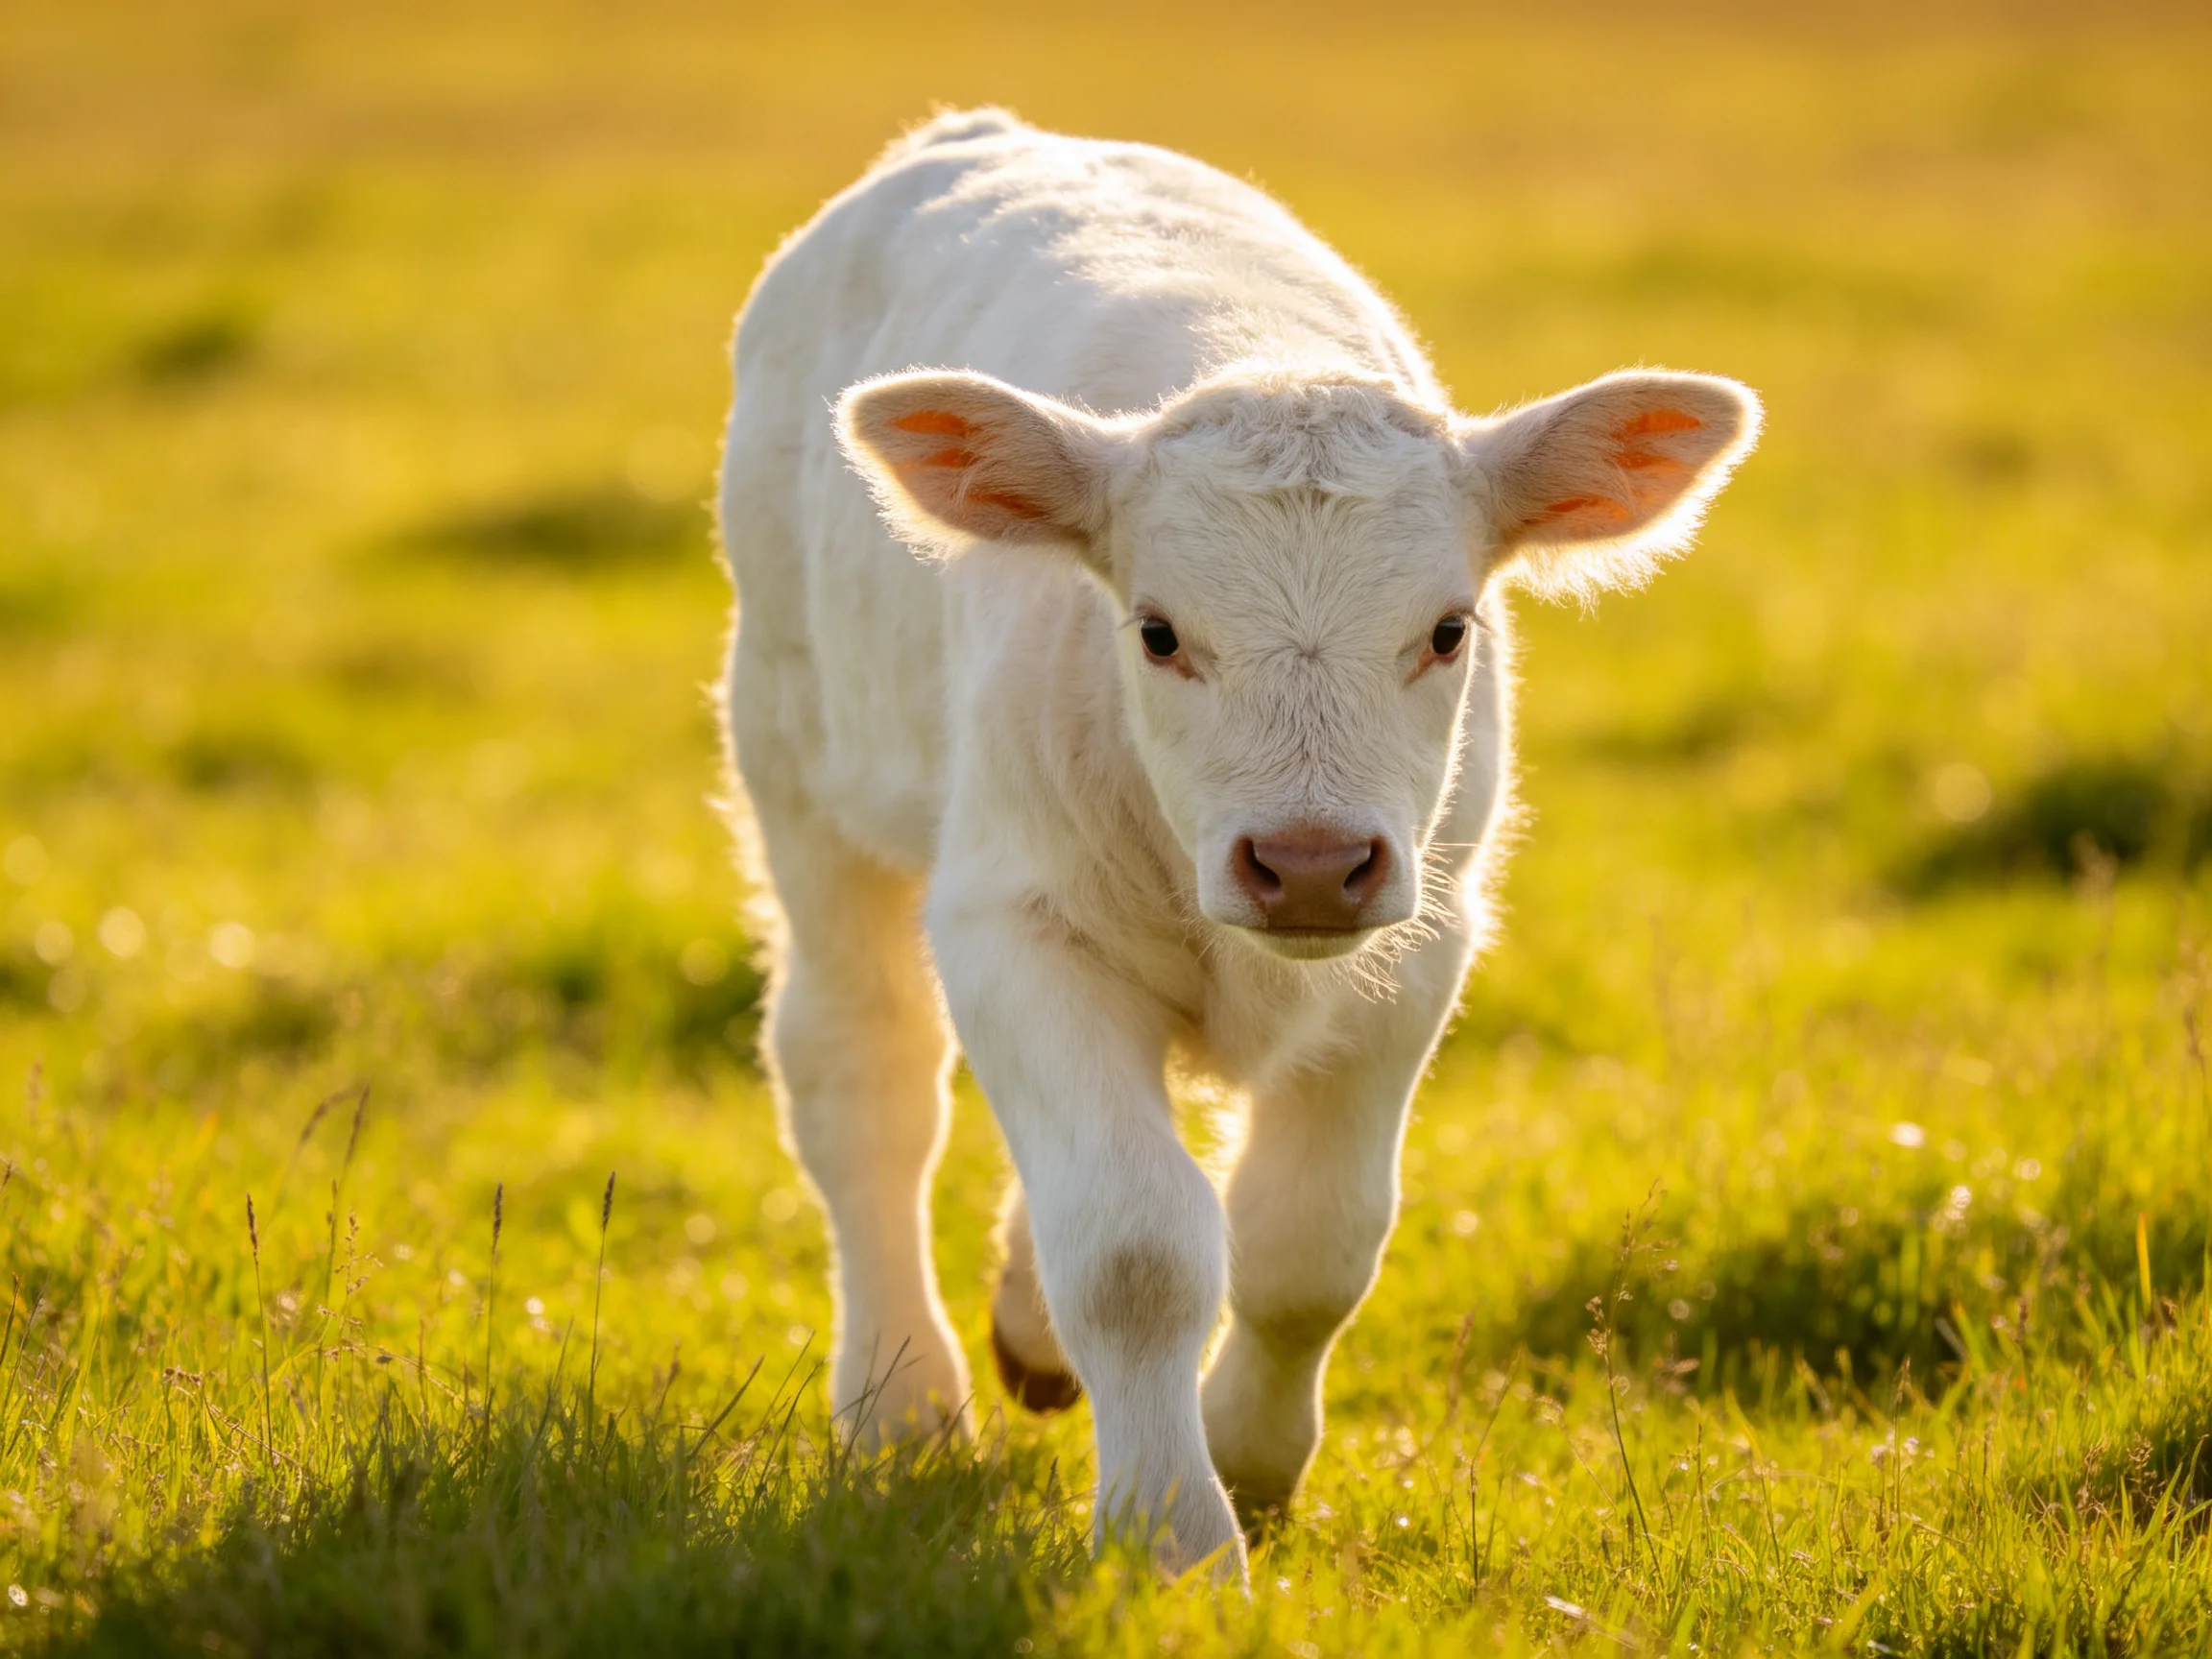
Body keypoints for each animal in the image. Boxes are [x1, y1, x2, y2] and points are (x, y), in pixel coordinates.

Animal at [716, 108, 1759, 1582]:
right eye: (1156, 631)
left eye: (1449, 629)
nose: (1310, 859)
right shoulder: (1010, 919)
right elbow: (1138, 1251)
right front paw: (1174, 1538)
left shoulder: (1417, 941)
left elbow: (1309, 1245)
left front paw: (1251, 1463)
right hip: (800, 760)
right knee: (862, 1079)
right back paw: (900, 1403)